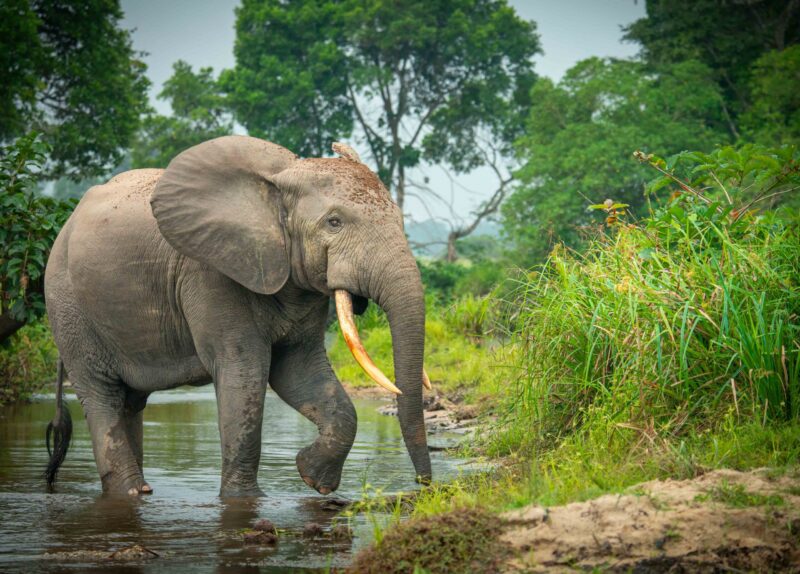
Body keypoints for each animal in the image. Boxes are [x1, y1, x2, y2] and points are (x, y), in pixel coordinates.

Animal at [43, 136, 432, 497]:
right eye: (334, 223)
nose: (424, 486)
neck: (281, 178)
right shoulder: (211, 272)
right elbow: (244, 372)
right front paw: (245, 501)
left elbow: (299, 371)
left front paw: (312, 476)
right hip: (68, 306)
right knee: (102, 395)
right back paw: (130, 493)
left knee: (130, 401)